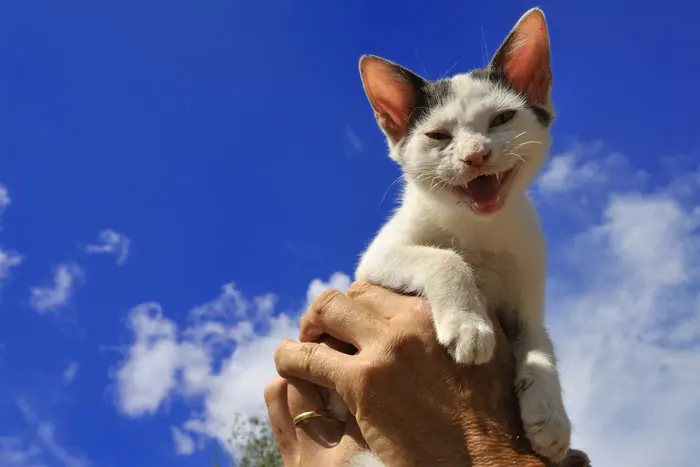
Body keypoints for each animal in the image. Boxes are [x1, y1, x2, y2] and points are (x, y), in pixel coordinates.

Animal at [340, 8, 576, 467]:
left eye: (502, 119)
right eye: (438, 136)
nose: (475, 156)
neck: (477, 228)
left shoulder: (526, 285)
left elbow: (538, 338)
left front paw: (549, 413)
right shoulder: (374, 260)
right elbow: (443, 257)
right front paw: (469, 325)